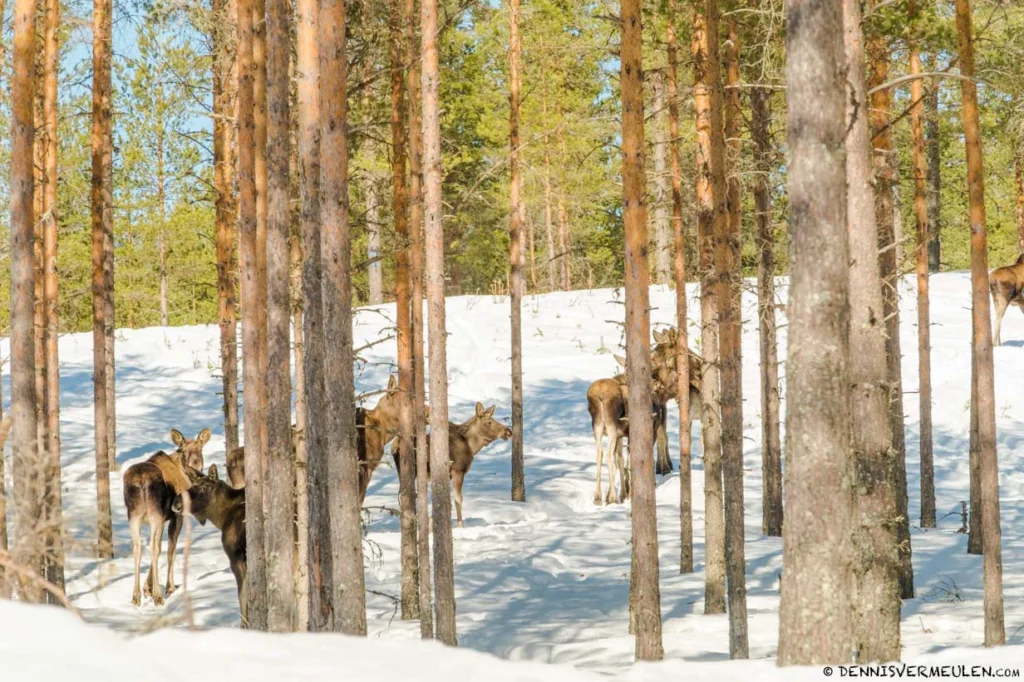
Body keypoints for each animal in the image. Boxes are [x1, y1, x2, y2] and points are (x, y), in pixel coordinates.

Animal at [122, 427, 211, 606]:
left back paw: (136, 596)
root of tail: (141, 480)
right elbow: (170, 549)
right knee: (153, 548)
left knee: (139, 547)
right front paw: (168, 588)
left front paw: (147, 588)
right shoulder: (177, 515)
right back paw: (158, 595)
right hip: (154, 514)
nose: (195, 465)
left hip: (134, 516)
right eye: (184, 450)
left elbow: (159, 547)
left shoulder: (162, 519)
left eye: (201, 448)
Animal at [179, 464, 247, 625]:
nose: (176, 504)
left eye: (204, 488)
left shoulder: (236, 558)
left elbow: (242, 596)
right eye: (191, 486)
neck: (221, 519)